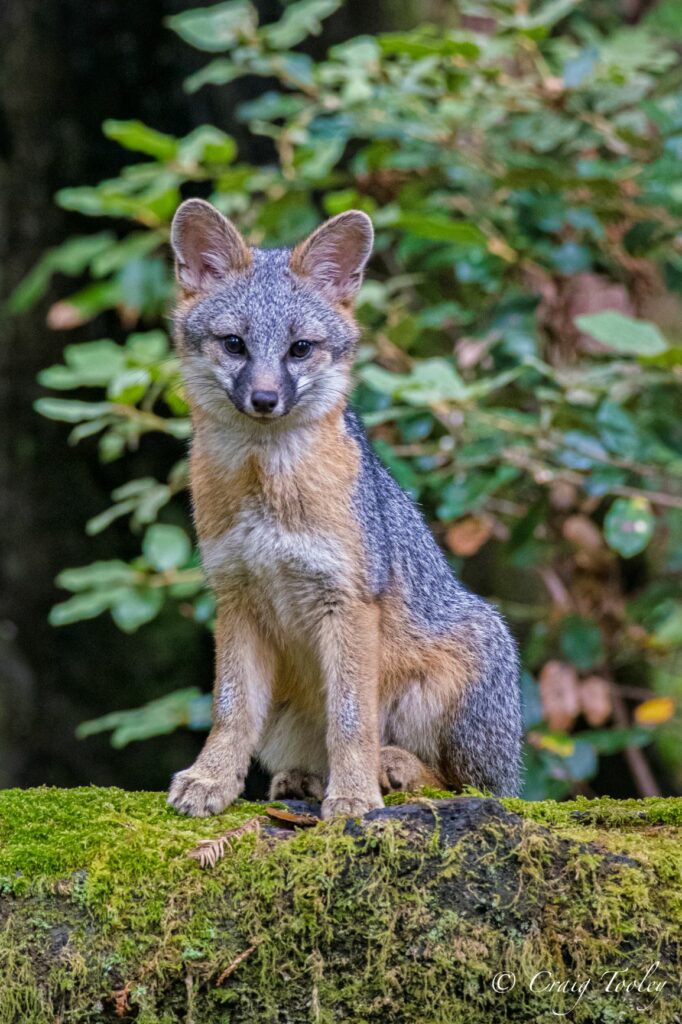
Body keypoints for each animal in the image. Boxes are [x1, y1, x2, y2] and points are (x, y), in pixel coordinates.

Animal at [164, 199, 520, 819]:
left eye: (299, 349)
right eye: (234, 344)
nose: (264, 399)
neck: (268, 492)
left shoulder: (348, 601)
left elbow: (351, 719)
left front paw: (354, 795)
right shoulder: (235, 598)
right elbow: (230, 711)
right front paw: (212, 779)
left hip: (471, 661)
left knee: (468, 785)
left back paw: (392, 769)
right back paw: (308, 779)